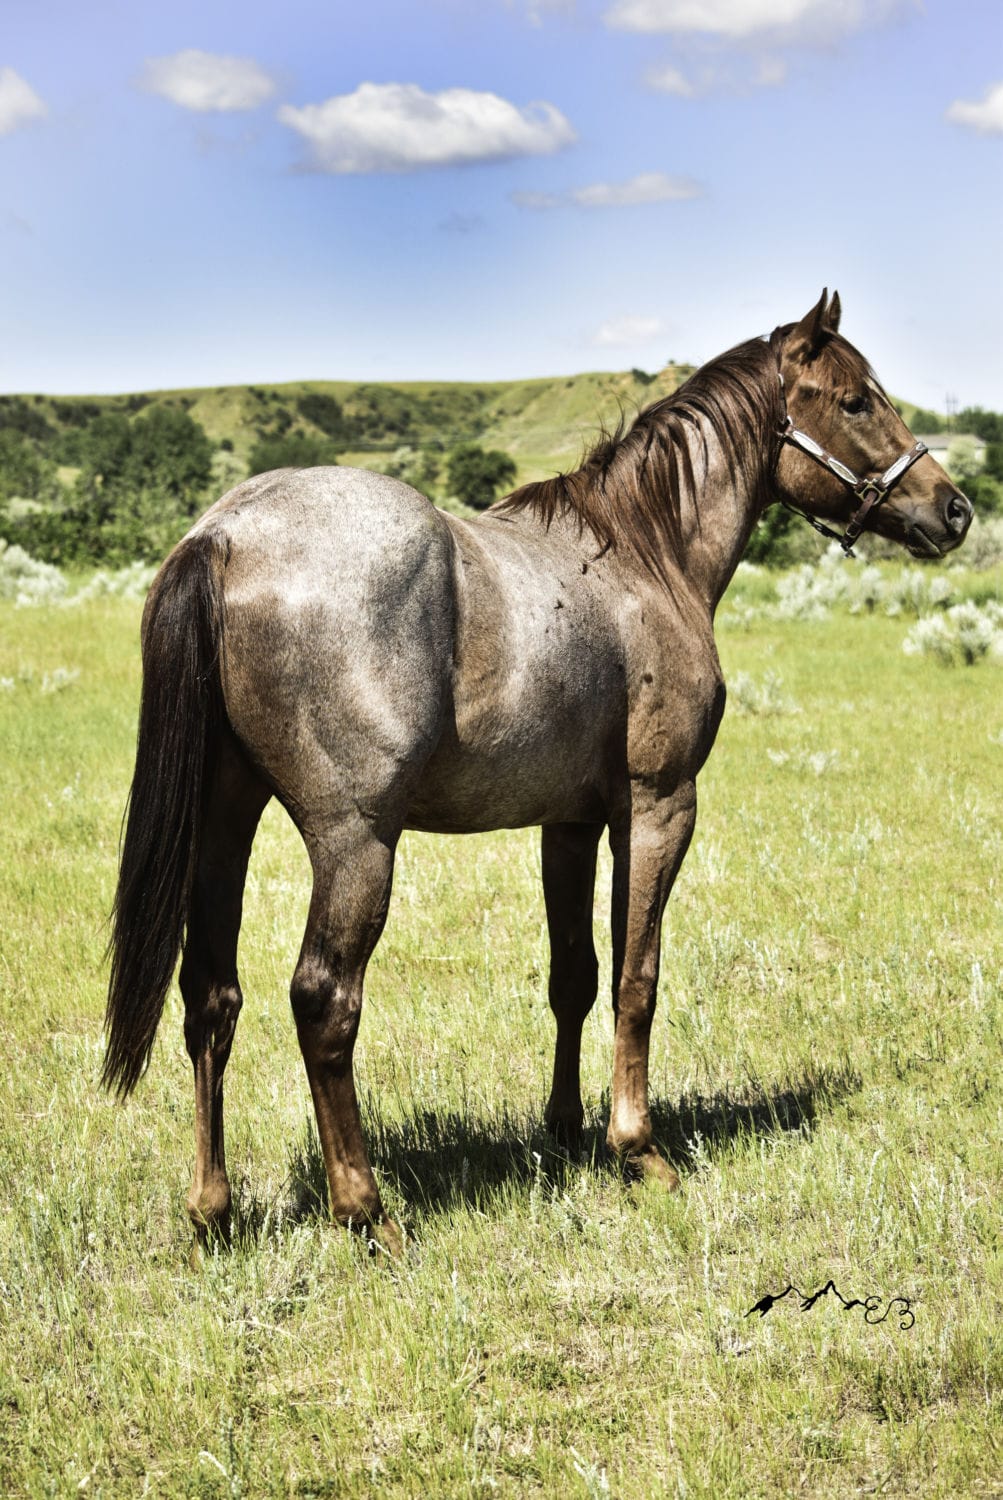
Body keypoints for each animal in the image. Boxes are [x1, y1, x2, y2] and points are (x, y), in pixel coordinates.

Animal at [102, 291, 972, 1253]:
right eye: (853, 401)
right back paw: (365, 1210)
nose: (954, 509)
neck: (643, 557)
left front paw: (564, 1129)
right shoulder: (657, 808)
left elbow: (574, 977)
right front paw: (636, 1148)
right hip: (355, 842)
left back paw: (212, 1209)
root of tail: (223, 535)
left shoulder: (570, 823)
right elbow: (636, 978)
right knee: (323, 1002)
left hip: (225, 822)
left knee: (210, 996)